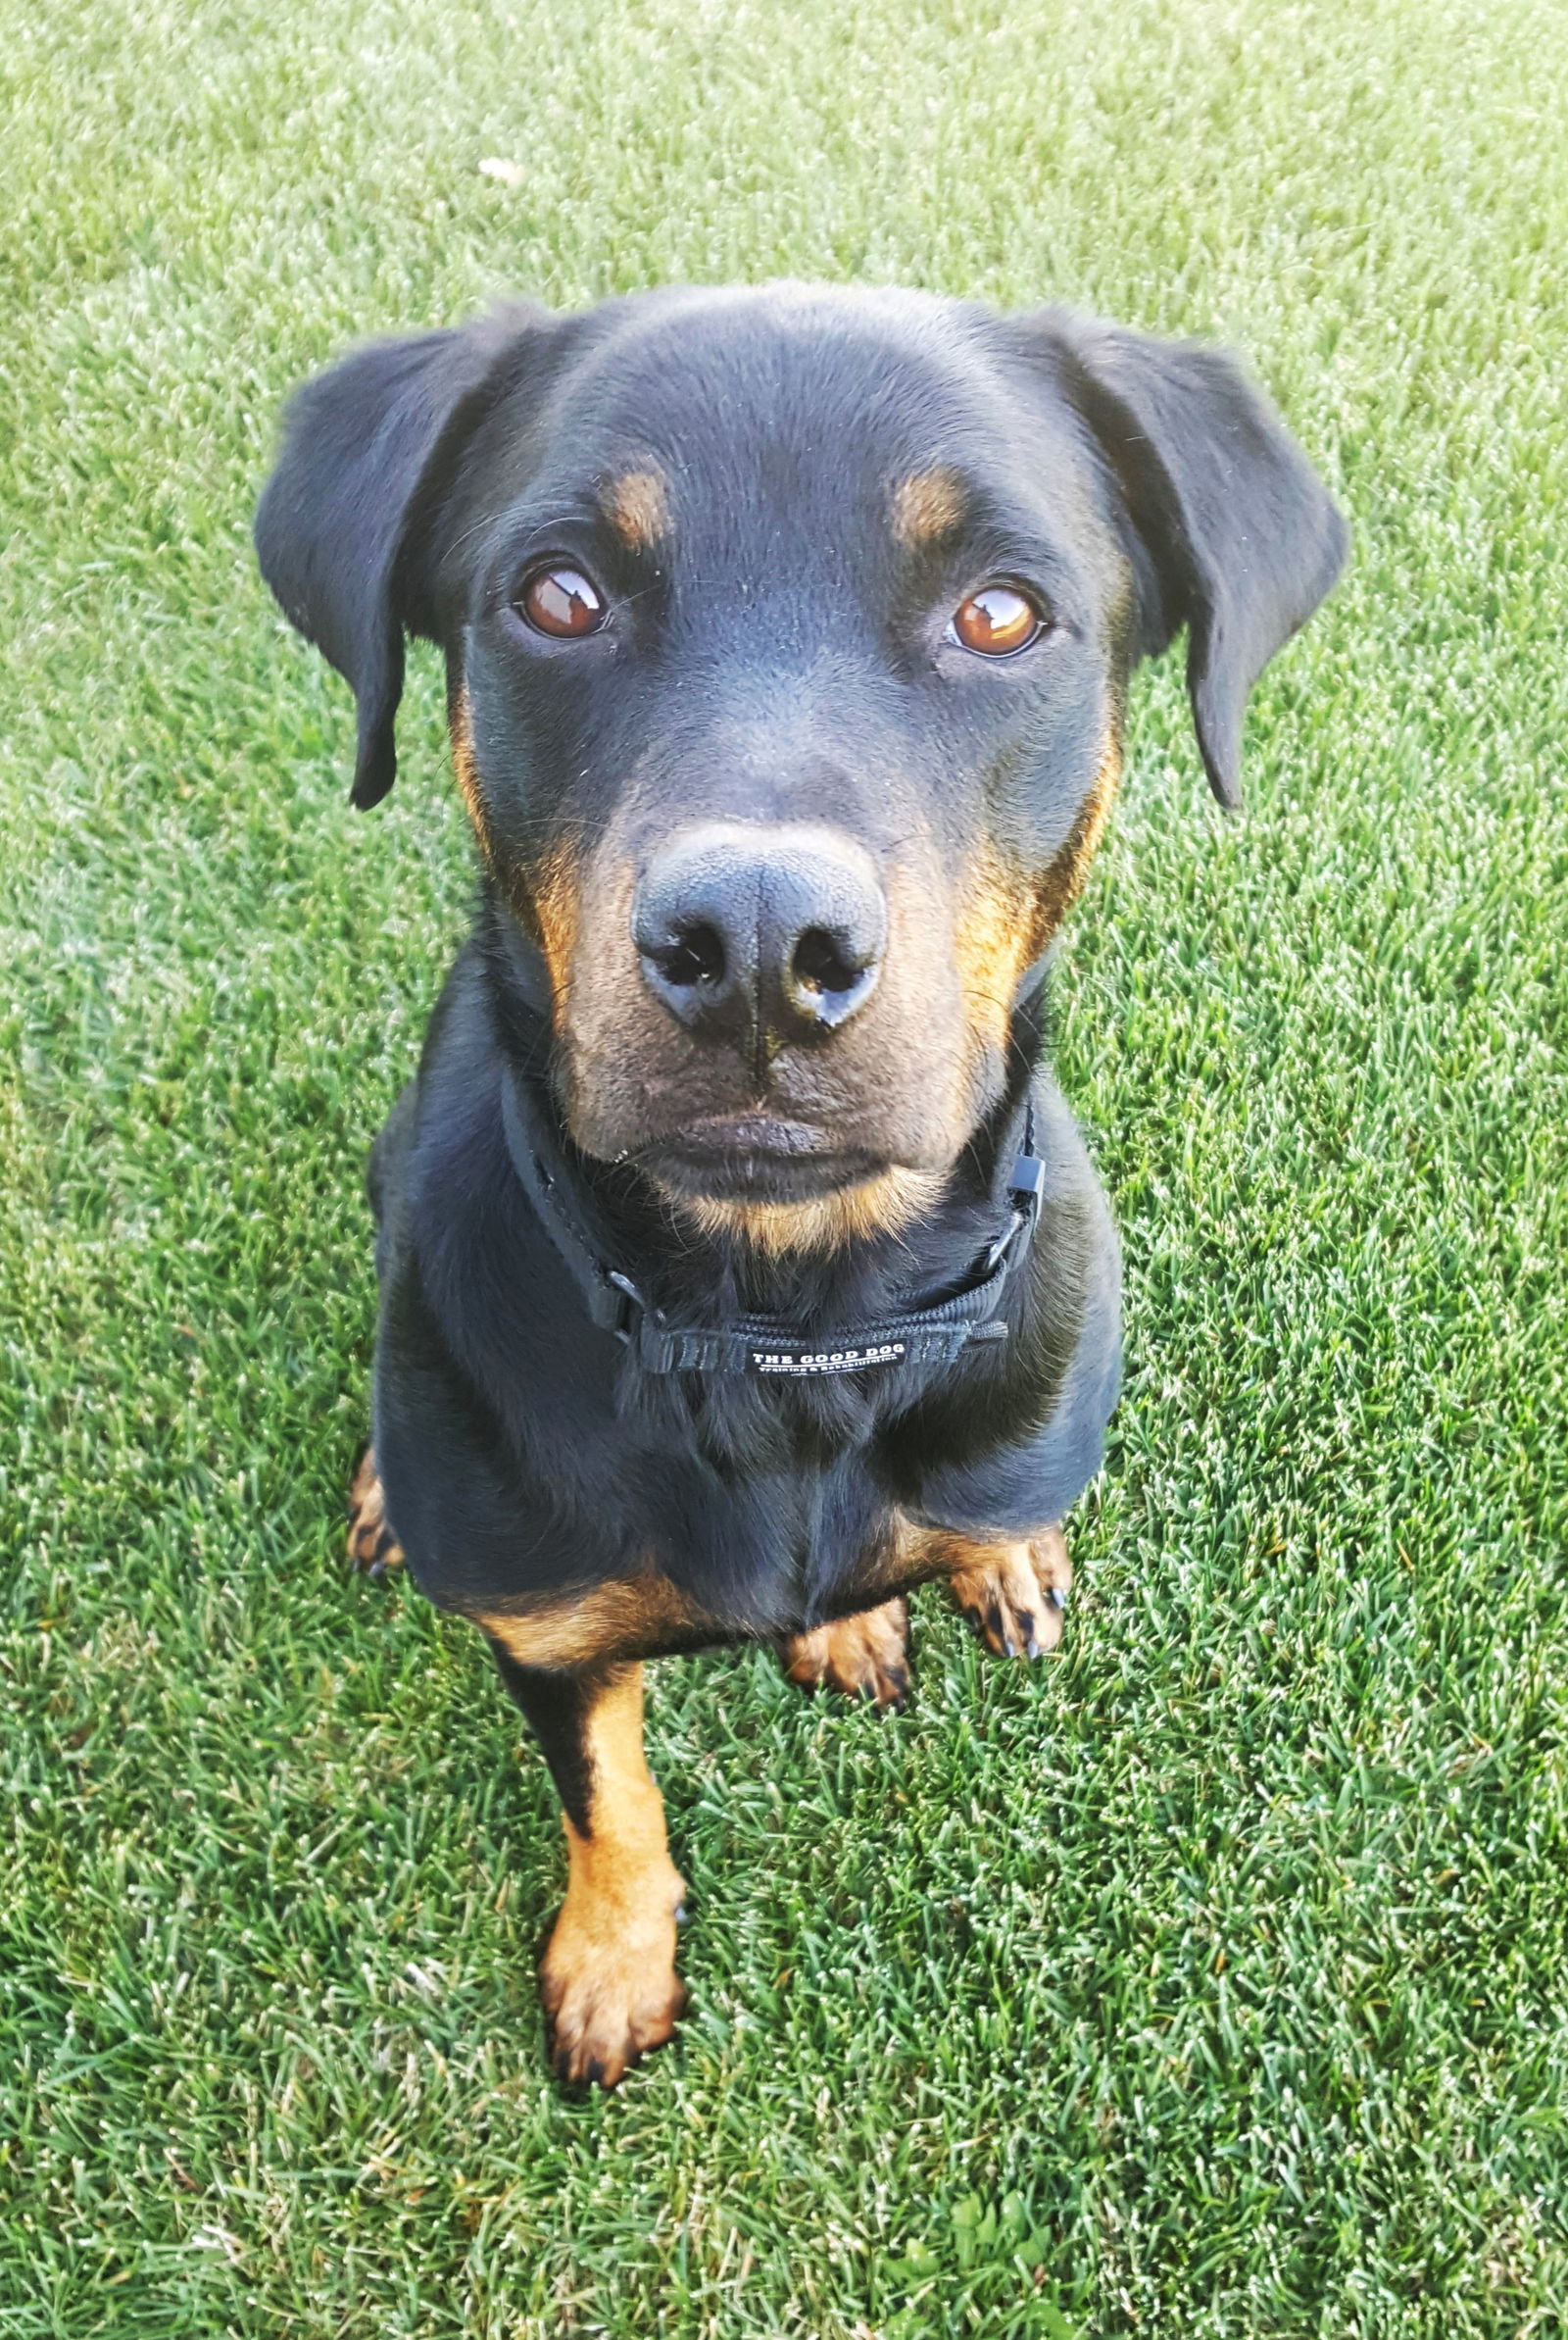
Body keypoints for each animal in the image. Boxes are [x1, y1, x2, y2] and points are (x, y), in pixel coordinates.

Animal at [251, 278, 1348, 2087]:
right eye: (560, 595)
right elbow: (606, 1790)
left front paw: (901, 1599)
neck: (783, 1319)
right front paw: (614, 1954)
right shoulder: (548, 1634)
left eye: (999, 611)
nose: (759, 946)